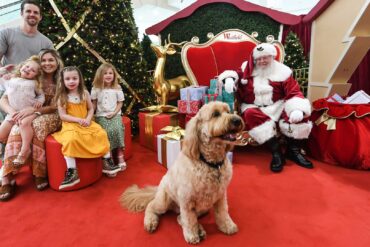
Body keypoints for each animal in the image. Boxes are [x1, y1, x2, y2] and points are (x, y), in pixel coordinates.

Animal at [120, 101, 244, 244]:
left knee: (180, 218)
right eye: (216, 114)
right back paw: (151, 222)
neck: (210, 163)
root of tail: (157, 190)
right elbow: (189, 220)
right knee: (153, 206)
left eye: (229, 111)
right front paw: (191, 235)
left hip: (203, 208)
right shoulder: (186, 200)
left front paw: (227, 226)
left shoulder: (220, 196)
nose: (237, 120)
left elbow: (223, 212)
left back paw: (199, 229)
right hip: (164, 201)